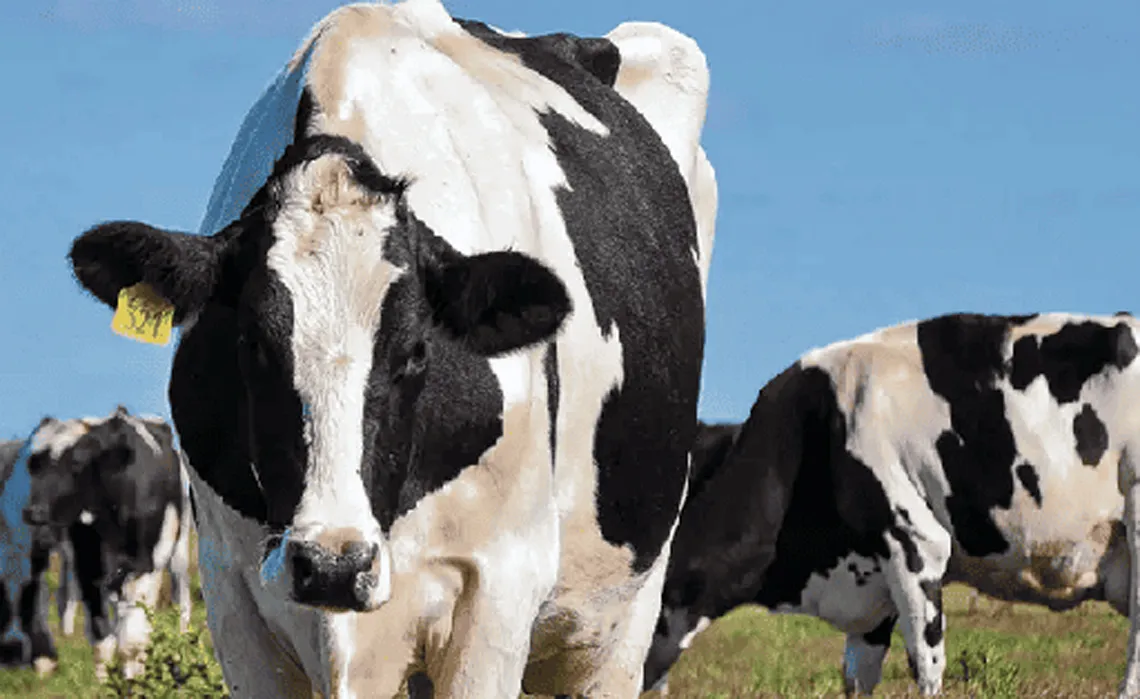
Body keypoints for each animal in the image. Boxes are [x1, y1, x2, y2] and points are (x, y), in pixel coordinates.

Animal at [22, 406, 194, 680]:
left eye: (76, 462)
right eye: (34, 465)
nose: (33, 512)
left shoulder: (145, 564)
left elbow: (132, 638)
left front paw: (135, 678)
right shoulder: (87, 565)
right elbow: (102, 632)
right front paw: (104, 681)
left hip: (179, 547)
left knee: (180, 595)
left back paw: (180, 640)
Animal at [65, 0, 716, 696]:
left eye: (417, 352)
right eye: (250, 343)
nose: (331, 563)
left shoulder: (500, 585)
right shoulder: (232, 591)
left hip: (625, 611)